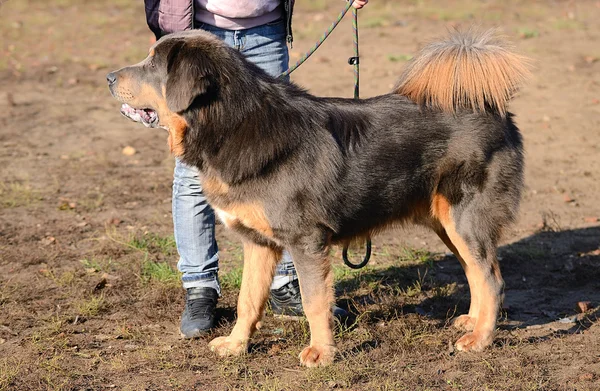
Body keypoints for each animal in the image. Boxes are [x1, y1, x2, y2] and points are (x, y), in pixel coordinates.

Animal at [108, 28, 528, 368]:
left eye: (153, 64)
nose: (109, 77)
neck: (233, 124)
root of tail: (491, 106)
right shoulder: (258, 243)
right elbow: (248, 300)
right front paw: (237, 345)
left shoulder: (306, 240)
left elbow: (314, 301)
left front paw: (321, 354)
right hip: (448, 225)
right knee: (475, 272)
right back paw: (473, 322)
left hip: (464, 219)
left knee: (491, 278)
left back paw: (479, 339)